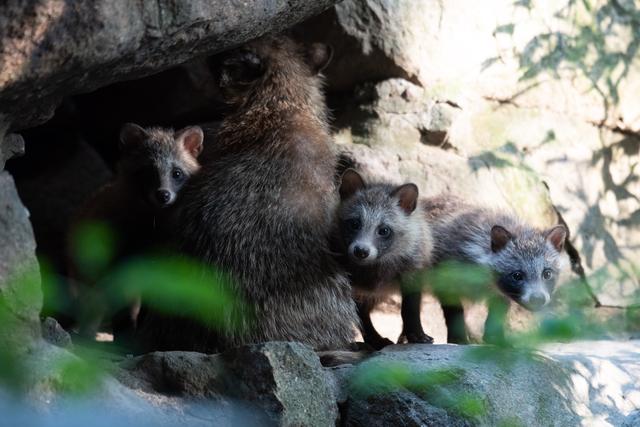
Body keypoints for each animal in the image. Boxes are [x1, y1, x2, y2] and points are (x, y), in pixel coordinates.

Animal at [336, 169, 436, 350]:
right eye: (354, 224)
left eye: (384, 230)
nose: (361, 251)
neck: (373, 265)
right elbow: (356, 312)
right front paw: (371, 335)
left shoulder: (413, 264)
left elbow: (410, 306)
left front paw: (414, 331)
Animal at [422, 196, 568, 346]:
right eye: (517, 275)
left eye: (547, 274)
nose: (538, 299)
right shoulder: (445, 276)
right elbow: (454, 312)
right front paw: (458, 338)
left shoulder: (500, 294)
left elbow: (498, 312)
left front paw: (496, 339)